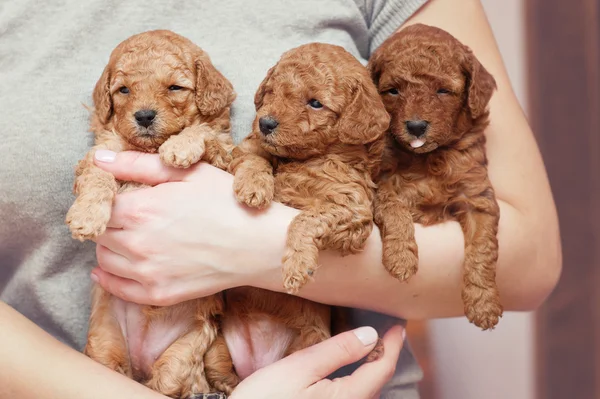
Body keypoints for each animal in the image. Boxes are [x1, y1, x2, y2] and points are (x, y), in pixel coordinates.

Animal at [67, 29, 239, 398]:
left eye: (175, 87)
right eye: (123, 90)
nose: (144, 116)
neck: (147, 148)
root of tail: (141, 364)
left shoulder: (226, 157)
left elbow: (203, 131)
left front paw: (180, 146)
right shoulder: (101, 153)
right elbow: (97, 175)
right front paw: (87, 216)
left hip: (186, 349)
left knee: (170, 384)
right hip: (105, 343)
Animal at [368, 25, 504, 332]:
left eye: (443, 90)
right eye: (393, 91)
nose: (416, 126)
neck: (429, 157)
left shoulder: (477, 198)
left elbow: (483, 249)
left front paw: (483, 303)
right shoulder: (380, 184)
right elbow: (393, 207)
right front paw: (401, 257)